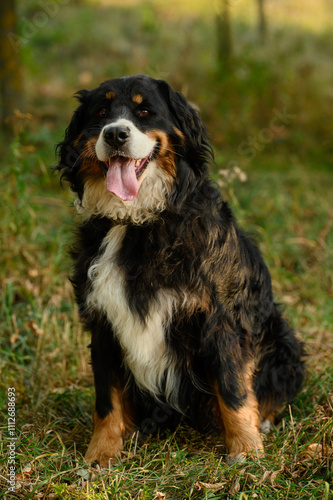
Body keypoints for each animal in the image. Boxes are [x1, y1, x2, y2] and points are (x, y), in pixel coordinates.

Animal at [55, 73, 304, 464]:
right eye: (101, 112)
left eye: (144, 111)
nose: (115, 134)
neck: (138, 222)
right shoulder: (103, 320)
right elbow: (106, 399)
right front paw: (101, 454)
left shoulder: (220, 317)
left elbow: (233, 388)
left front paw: (246, 450)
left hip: (284, 342)